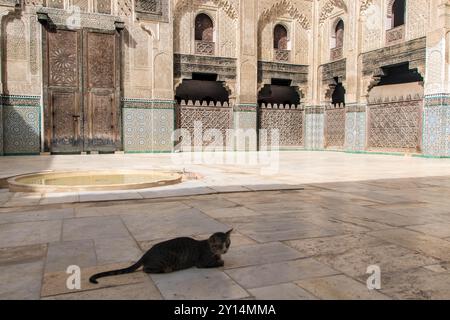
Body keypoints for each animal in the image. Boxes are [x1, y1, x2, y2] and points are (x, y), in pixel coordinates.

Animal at [90, 229, 234, 284]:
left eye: (228, 243)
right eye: (219, 245)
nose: (225, 250)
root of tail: (146, 253)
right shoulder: (202, 263)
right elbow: (220, 262)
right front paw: (220, 260)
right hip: (165, 260)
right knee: (145, 269)